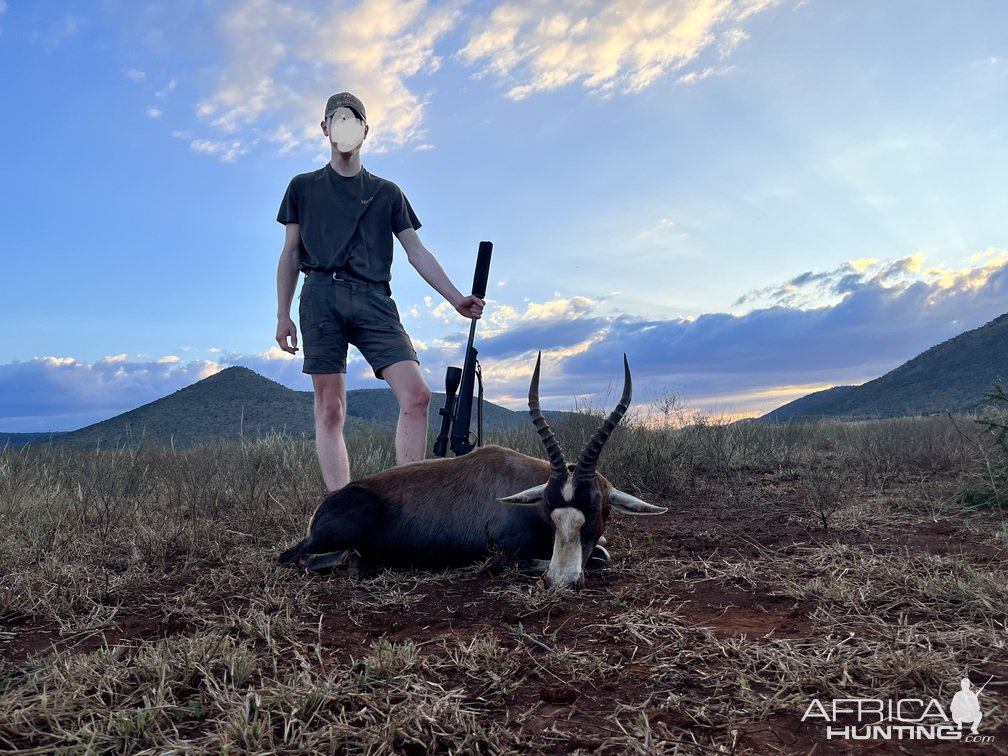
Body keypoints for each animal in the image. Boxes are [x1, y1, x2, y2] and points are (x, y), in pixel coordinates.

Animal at [280, 354, 665, 592]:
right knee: (294, 557)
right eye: (551, 511)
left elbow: (602, 550)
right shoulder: (504, 552)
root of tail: (325, 507)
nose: (560, 582)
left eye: (595, 510)